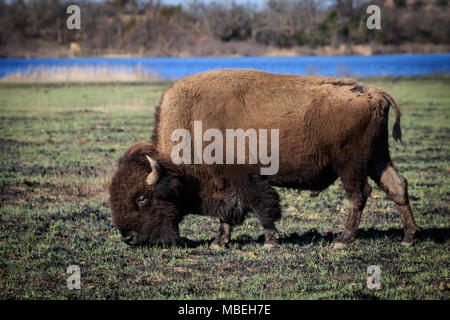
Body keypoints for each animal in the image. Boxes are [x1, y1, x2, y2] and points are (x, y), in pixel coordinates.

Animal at [109, 69, 418, 250]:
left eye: (141, 198)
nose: (128, 238)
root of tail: (374, 93)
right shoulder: (226, 182)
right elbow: (228, 213)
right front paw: (219, 242)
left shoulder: (246, 176)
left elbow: (261, 206)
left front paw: (270, 241)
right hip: (378, 157)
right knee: (397, 185)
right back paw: (408, 237)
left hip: (351, 165)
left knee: (359, 195)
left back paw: (343, 241)